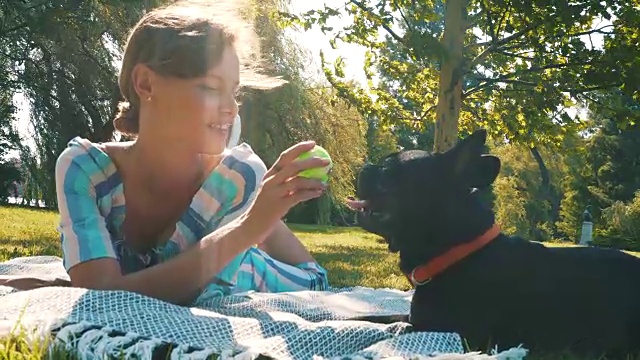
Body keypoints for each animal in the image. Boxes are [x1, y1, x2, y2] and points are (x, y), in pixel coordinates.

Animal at [352, 129, 640, 358]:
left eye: (388, 170)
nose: (365, 165)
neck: (458, 251)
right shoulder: (414, 318)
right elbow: (370, 318)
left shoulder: (450, 330)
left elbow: (395, 328)